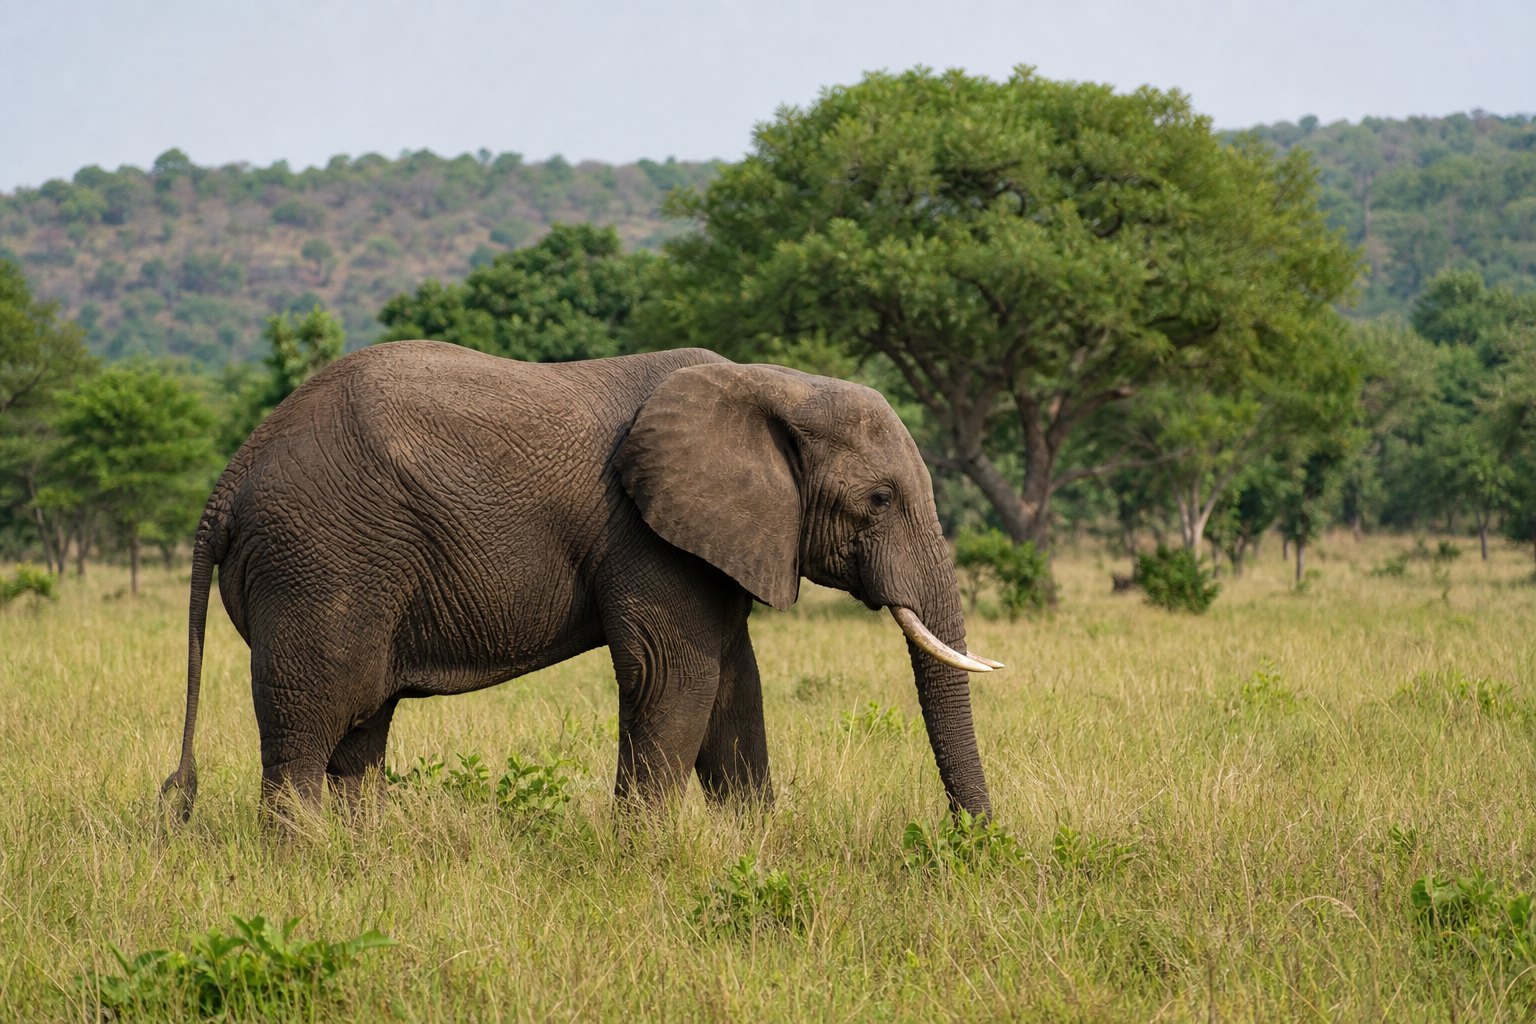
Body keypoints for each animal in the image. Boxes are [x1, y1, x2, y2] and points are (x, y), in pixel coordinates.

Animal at [161, 340, 1000, 822]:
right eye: (880, 500)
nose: (972, 841)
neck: (771, 385)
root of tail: (228, 479)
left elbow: (735, 688)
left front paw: (756, 845)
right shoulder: (647, 536)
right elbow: (673, 680)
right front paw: (643, 866)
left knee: (359, 735)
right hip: (319, 563)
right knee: (311, 731)